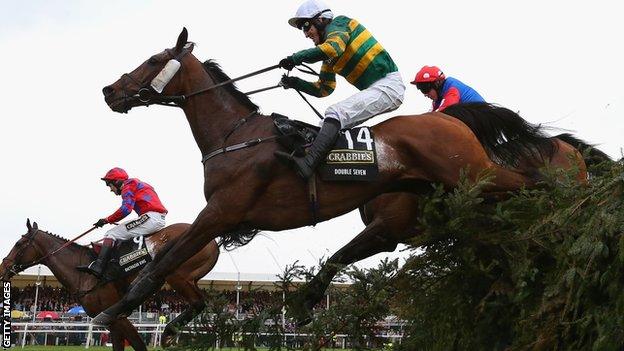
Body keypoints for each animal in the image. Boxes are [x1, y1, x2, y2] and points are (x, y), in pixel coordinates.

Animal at [0, 220, 221, 350]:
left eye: (19, 244)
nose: (3, 268)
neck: (82, 272)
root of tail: (214, 241)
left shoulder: (116, 316)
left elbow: (138, 344)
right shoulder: (112, 322)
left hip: (176, 274)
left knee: (198, 302)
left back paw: (167, 332)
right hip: (187, 278)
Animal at [96, 28, 556, 326]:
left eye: (154, 60)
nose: (109, 90)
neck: (235, 136)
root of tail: (452, 119)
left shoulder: (221, 212)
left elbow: (162, 263)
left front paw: (112, 309)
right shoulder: (222, 217)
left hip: (473, 175)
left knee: (531, 183)